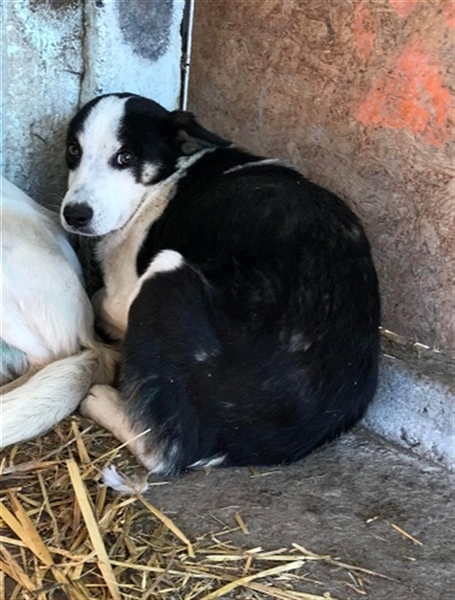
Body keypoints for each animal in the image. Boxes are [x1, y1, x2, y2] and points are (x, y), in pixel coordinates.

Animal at [60, 93, 380, 475]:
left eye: (126, 157)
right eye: (73, 150)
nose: (74, 215)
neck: (170, 176)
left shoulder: (124, 297)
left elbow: (98, 299)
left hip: (167, 272)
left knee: (165, 450)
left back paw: (104, 401)